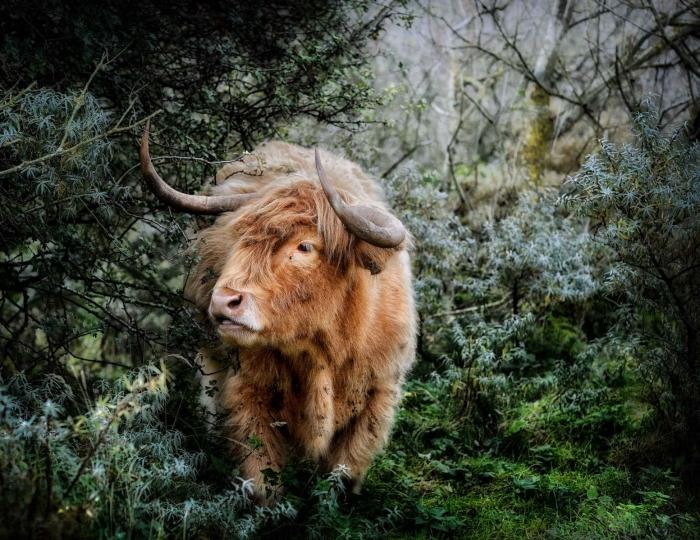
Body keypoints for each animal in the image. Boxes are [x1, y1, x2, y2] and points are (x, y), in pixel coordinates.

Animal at [140, 122, 418, 502]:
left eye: (305, 246)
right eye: (240, 237)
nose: (224, 301)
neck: (325, 349)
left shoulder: (378, 396)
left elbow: (343, 477)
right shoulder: (248, 393)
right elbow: (262, 480)